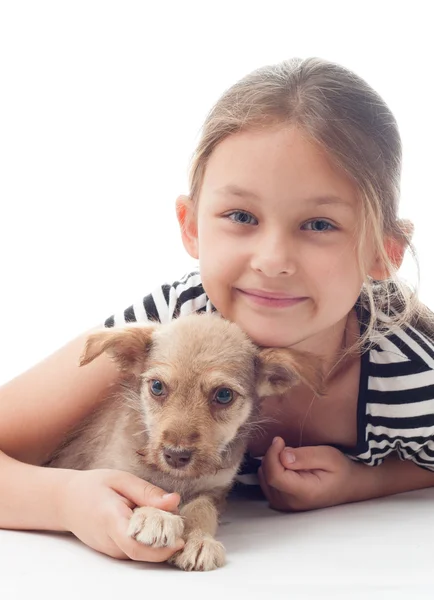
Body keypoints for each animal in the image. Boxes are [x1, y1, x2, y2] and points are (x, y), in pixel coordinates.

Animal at [48, 314, 322, 572]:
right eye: (157, 386)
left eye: (224, 395)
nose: (175, 456)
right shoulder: (110, 470)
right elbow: (143, 488)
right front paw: (156, 517)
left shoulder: (215, 490)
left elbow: (202, 509)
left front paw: (198, 541)